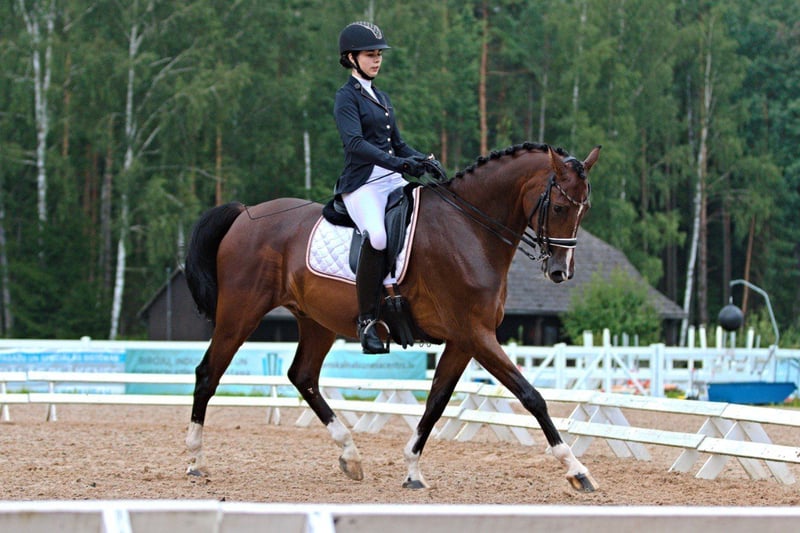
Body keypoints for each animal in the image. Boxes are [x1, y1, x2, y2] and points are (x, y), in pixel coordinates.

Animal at [184, 142, 601, 492]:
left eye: (585, 209)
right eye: (560, 207)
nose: (561, 272)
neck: (470, 229)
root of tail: (245, 214)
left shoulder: (463, 341)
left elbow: (436, 403)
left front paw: (413, 470)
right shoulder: (477, 334)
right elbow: (531, 396)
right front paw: (577, 470)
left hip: (316, 322)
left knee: (303, 377)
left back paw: (351, 456)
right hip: (240, 312)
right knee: (208, 373)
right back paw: (195, 461)